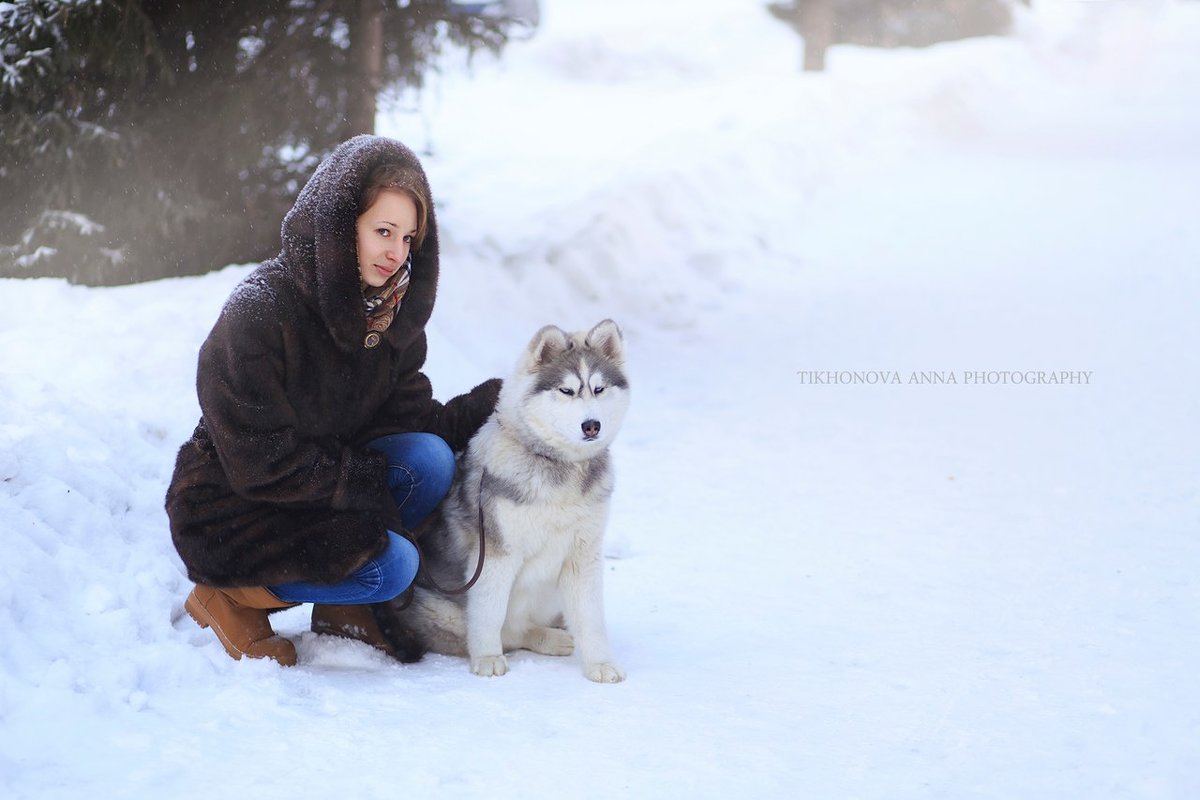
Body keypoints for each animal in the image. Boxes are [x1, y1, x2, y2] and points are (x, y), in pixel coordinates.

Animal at [376, 319, 633, 681]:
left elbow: (591, 618)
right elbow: (490, 614)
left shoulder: (583, 555)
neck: (561, 468)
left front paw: (600, 663)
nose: (591, 425)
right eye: (566, 391)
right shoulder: (496, 553)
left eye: (598, 389)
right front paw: (486, 658)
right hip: (439, 607)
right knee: (509, 631)